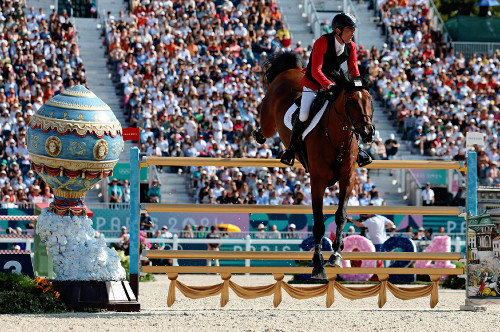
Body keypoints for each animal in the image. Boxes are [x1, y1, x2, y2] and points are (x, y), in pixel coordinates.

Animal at [256, 53, 374, 278]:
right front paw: (318, 264)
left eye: (369, 100)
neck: (337, 137)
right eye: (350, 101)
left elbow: (341, 216)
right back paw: (258, 135)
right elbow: (319, 222)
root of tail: (291, 70)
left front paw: (336, 256)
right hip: (268, 122)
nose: (368, 133)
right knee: (263, 128)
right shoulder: (317, 181)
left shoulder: (347, 179)